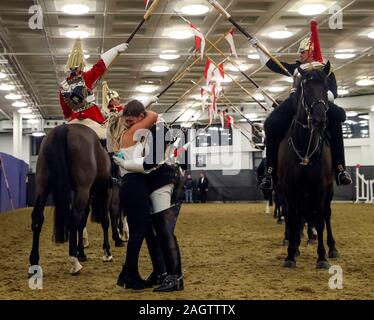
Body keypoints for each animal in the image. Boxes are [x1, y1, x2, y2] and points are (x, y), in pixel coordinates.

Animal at [280, 62, 338, 268]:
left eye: (326, 87)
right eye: (305, 88)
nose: (319, 120)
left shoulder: (319, 187)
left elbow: (319, 219)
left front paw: (321, 258)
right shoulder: (289, 188)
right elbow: (293, 217)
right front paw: (290, 255)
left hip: (328, 190)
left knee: (326, 214)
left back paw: (332, 248)